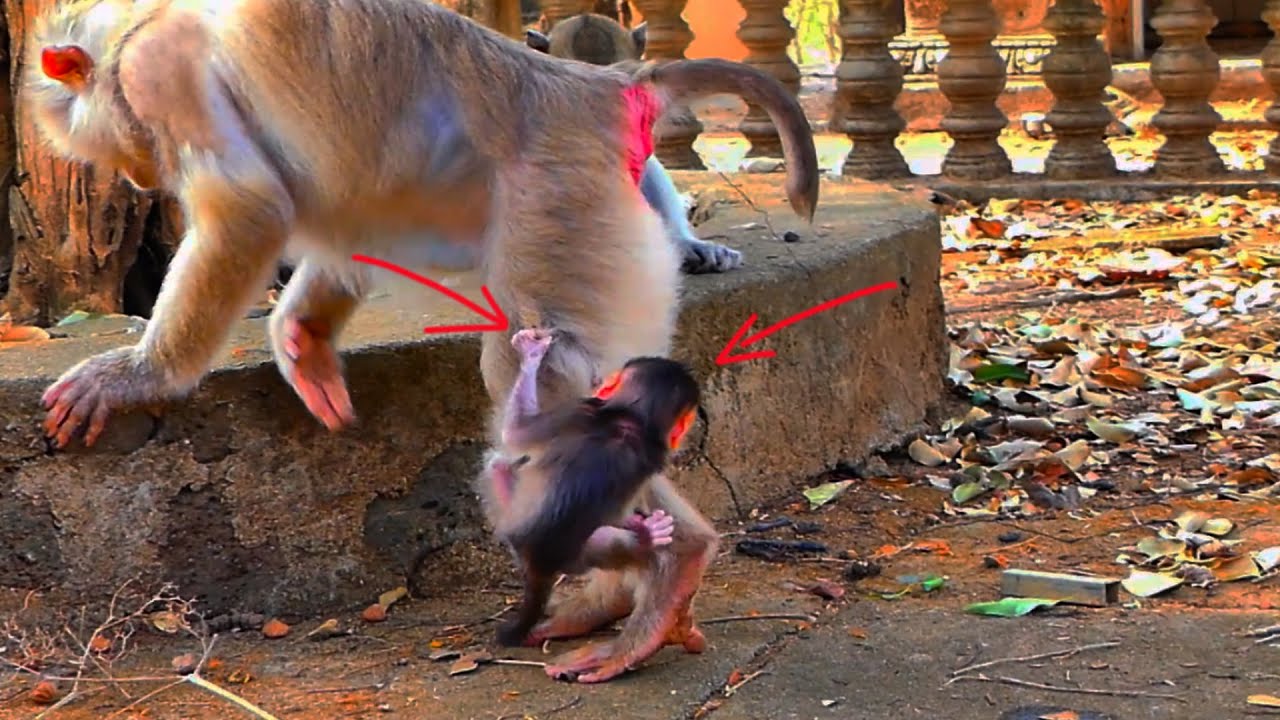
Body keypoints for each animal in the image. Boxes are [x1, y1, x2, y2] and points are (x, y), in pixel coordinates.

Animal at [477, 326, 700, 649]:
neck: (631, 419)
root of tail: (542, 563)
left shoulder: (578, 409)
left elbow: (515, 434)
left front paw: (532, 355)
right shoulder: (646, 453)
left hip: (540, 536)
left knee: (498, 464)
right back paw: (648, 535)